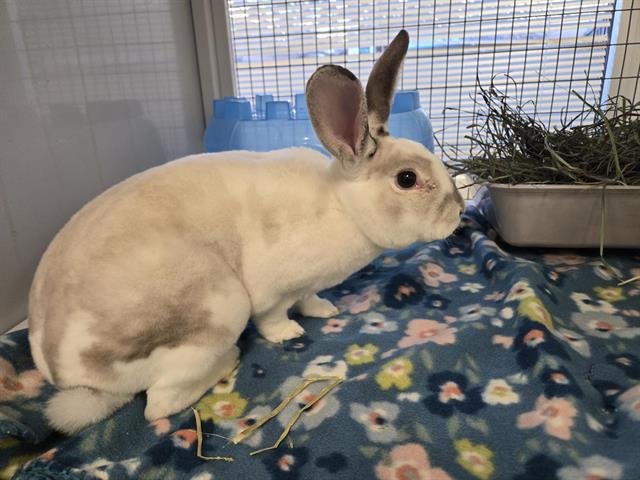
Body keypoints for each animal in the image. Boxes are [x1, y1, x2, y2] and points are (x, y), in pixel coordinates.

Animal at [28, 29, 464, 434]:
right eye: (406, 179)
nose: (459, 211)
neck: (341, 204)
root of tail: (72, 378)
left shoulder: (304, 285)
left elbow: (308, 297)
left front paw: (324, 310)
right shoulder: (269, 291)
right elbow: (273, 317)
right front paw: (290, 332)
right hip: (222, 305)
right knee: (159, 404)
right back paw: (229, 360)